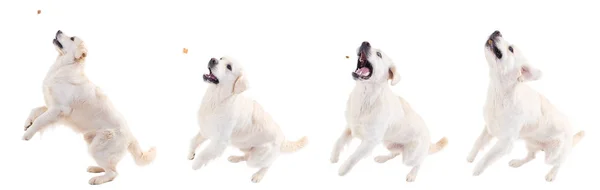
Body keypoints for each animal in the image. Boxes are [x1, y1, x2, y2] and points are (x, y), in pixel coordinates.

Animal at [21, 30, 157, 185]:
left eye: (72, 38)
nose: (58, 30)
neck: (63, 66)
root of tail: (131, 136)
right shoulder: (51, 105)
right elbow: (35, 109)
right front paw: (27, 123)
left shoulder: (59, 109)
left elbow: (40, 121)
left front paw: (27, 134)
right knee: (110, 167)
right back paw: (95, 168)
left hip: (98, 148)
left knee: (113, 173)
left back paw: (97, 179)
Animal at [330, 42, 448, 183]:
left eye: (379, 54)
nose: (365, 43)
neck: (365, 96)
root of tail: (429, 140)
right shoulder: (350, 127)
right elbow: (338, 142)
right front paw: (334, 157)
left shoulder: (370, 141)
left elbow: (354, 157)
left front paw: (342, 170)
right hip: (388, 143)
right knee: (396, 153)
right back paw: (382, 158)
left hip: (410, 156)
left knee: (420, 161)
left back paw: (412, 174)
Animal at [464, 30, 584, 182]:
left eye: (511, 49)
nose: (497, 31)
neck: (499, 94)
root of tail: (571, 134)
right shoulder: (489, 128)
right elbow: (478, 142)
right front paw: (470, 156)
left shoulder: (506, 143)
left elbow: (488, 156)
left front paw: (477, 169)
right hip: (530, 143)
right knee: (531, 156)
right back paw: (517, 162)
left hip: (553, 155)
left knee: (561, 162)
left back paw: (552, 174)